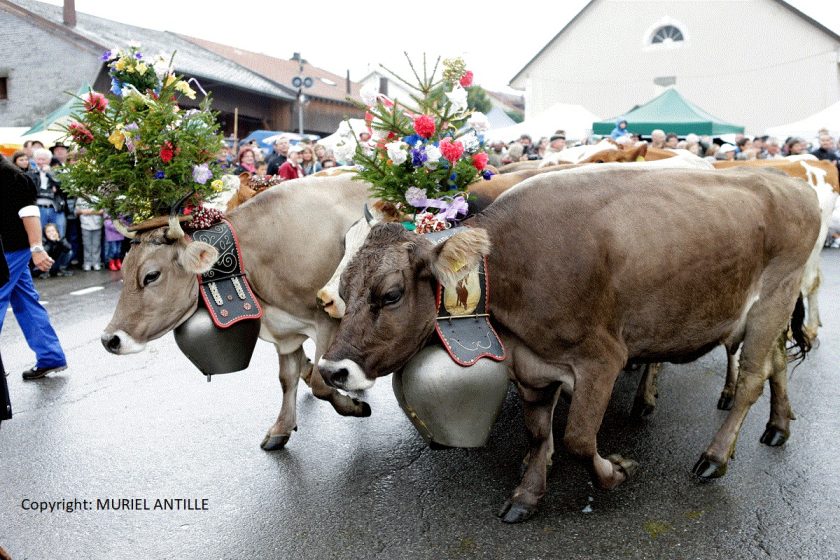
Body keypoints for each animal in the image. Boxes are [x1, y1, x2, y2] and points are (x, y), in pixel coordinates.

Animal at [318, 168, 816, 524]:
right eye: (345, 285)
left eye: (390, 295)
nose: (331, 370)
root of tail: (790, 182)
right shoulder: (531, 367)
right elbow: (539, 432)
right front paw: (527, 495)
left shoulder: (603, 358)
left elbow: (578, 437)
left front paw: (616, 471)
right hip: (767, 314)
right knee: (776, 365)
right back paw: (778, 425)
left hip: (772, 301)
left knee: (751, 379)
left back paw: (714, 457)